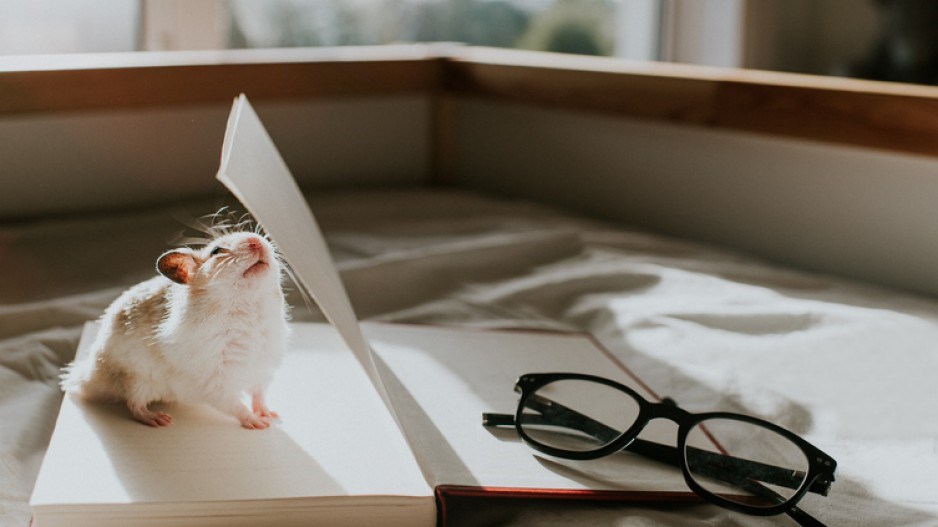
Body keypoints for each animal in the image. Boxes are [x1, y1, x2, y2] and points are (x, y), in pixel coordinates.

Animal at [62, 229, 288, 432]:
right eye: (216, 251)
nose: (256, 241)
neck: (248, 308)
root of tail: (90, 375)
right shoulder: (215, 382)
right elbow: (235, 405)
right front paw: (258, 424)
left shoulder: (262, 368)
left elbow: (259, 394)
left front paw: (270, 415)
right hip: (137, 379)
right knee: (134, 404)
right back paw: (158, 419)